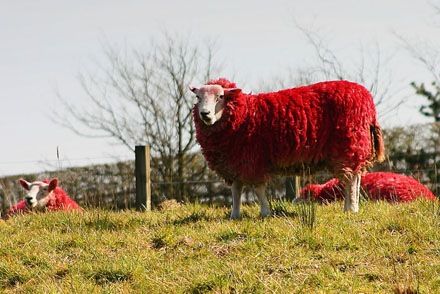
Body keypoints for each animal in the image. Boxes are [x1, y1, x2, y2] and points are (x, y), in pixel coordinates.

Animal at [191, 78, 384, 218]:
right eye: (198, 98)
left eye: (220, 97)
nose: (205, 114)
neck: (244, 114)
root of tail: (367, 100)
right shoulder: (235, 162)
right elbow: (236, 190)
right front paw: (235, 215)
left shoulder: (252, 161)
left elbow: (258, 189)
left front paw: (265, 213)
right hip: (354, 149)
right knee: (355, 178)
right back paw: (352, 207)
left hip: (348, 146)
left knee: (350, 180)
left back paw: (350, 209)